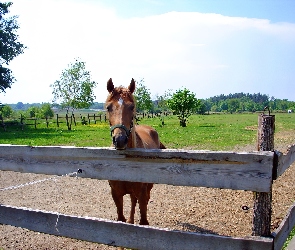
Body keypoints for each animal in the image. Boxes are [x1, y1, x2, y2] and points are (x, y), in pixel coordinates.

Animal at [106, 77, 166, 225]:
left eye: (132, 107)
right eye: (108, 107)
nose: (120, 140)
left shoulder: (142, 194)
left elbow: (143, 220)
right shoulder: (116, 194)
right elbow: (120, 217)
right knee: (133, 200)